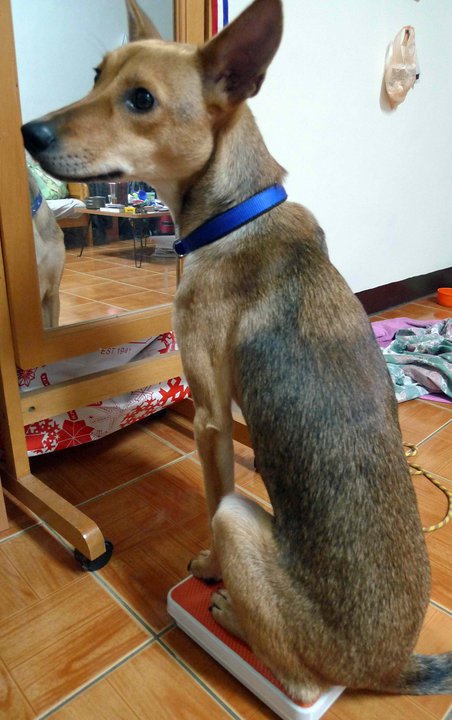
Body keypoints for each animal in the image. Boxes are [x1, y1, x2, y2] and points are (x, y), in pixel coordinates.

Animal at [21, 0, 451, 701]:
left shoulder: (210, 418)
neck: (235, 212)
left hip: (237, 521)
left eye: (141, 99)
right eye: (96, 76)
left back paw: (229, 613)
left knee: (298, 681)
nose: (27, 133)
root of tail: (390, 667)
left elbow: (212, 488)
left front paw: (209, 570)